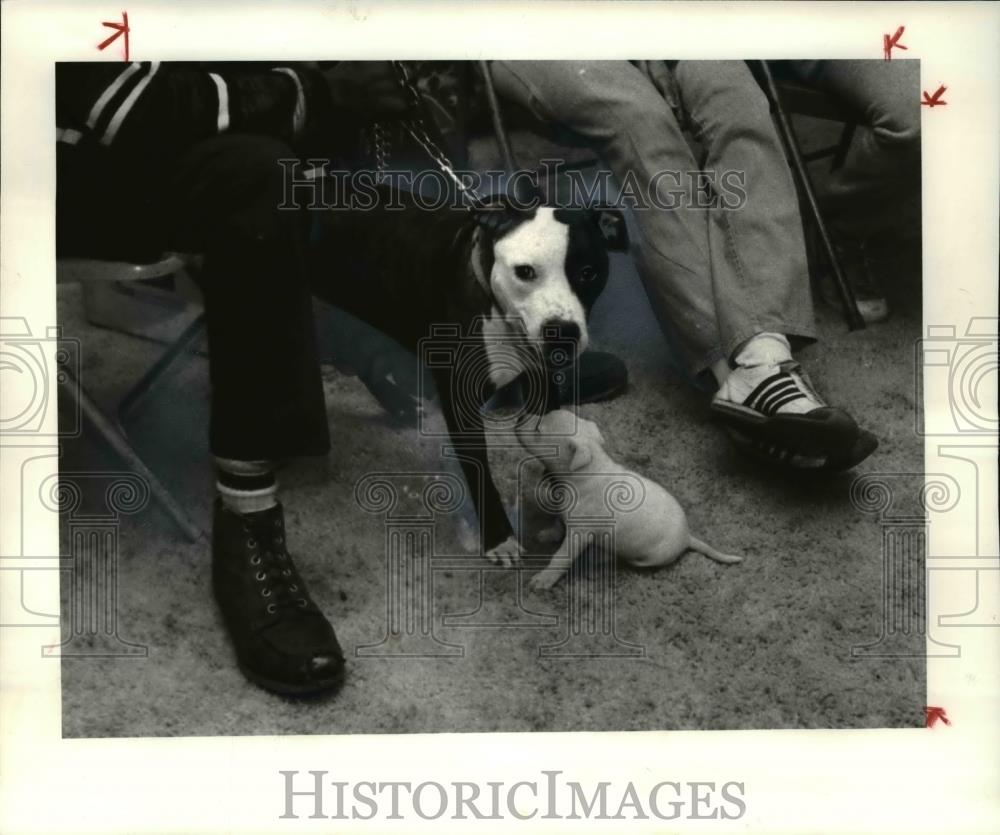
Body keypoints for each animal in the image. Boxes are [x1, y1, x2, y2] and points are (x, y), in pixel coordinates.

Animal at [308, 186, 628, 564]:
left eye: (589, 272)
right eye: (525, 272)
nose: (562, 332)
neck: (497, 310)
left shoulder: (543, 385)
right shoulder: (461, 407)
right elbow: (480, 474)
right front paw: (499, 539)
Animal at [516, 410, 744, 592]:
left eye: (537, 430)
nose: (518, 417)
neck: (586, 471)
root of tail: (687, 537)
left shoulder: (579, 534)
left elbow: (561, 557)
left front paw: (544, 579)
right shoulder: (567, 515)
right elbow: (558, 523)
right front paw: (549, 534)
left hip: (649, 557)